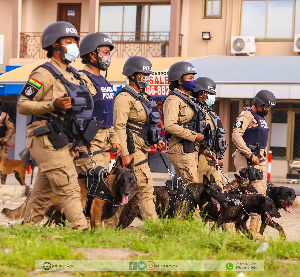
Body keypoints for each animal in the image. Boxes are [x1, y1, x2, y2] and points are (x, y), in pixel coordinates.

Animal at [1, 155, 137, 229]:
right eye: (122, 180)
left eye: (131, 181)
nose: (127, 193)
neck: (108, 187)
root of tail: (33, 191)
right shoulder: (97, 219)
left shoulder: (101, 220)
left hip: (57, 218)